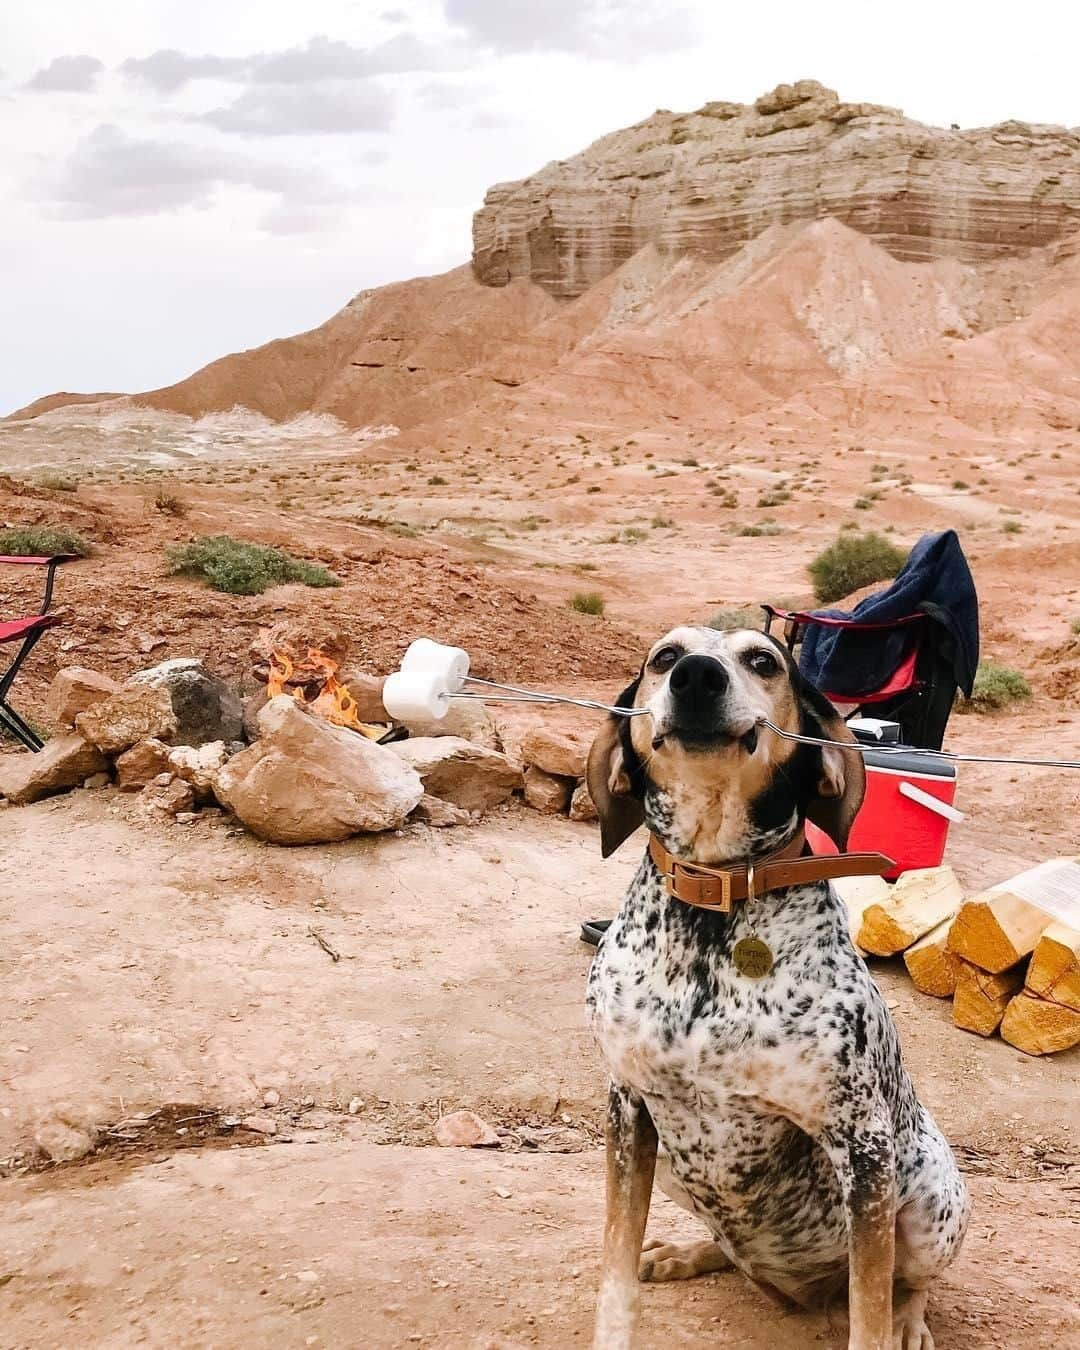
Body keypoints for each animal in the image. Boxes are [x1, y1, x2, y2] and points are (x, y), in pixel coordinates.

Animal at [585, 629, 966, 1350]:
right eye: (664, 657)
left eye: (763, 660)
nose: (697, 677)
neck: (715, 897)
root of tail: (798, 1289)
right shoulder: (629, 1110)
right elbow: (614, 1278)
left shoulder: (864, 1147)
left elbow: (869, 1315)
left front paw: (888, 1323)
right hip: (674, 1166)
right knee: (727, 1245)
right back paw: (685, 1253)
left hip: (929, 1194)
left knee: (909, 1283)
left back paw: (909, 1320)